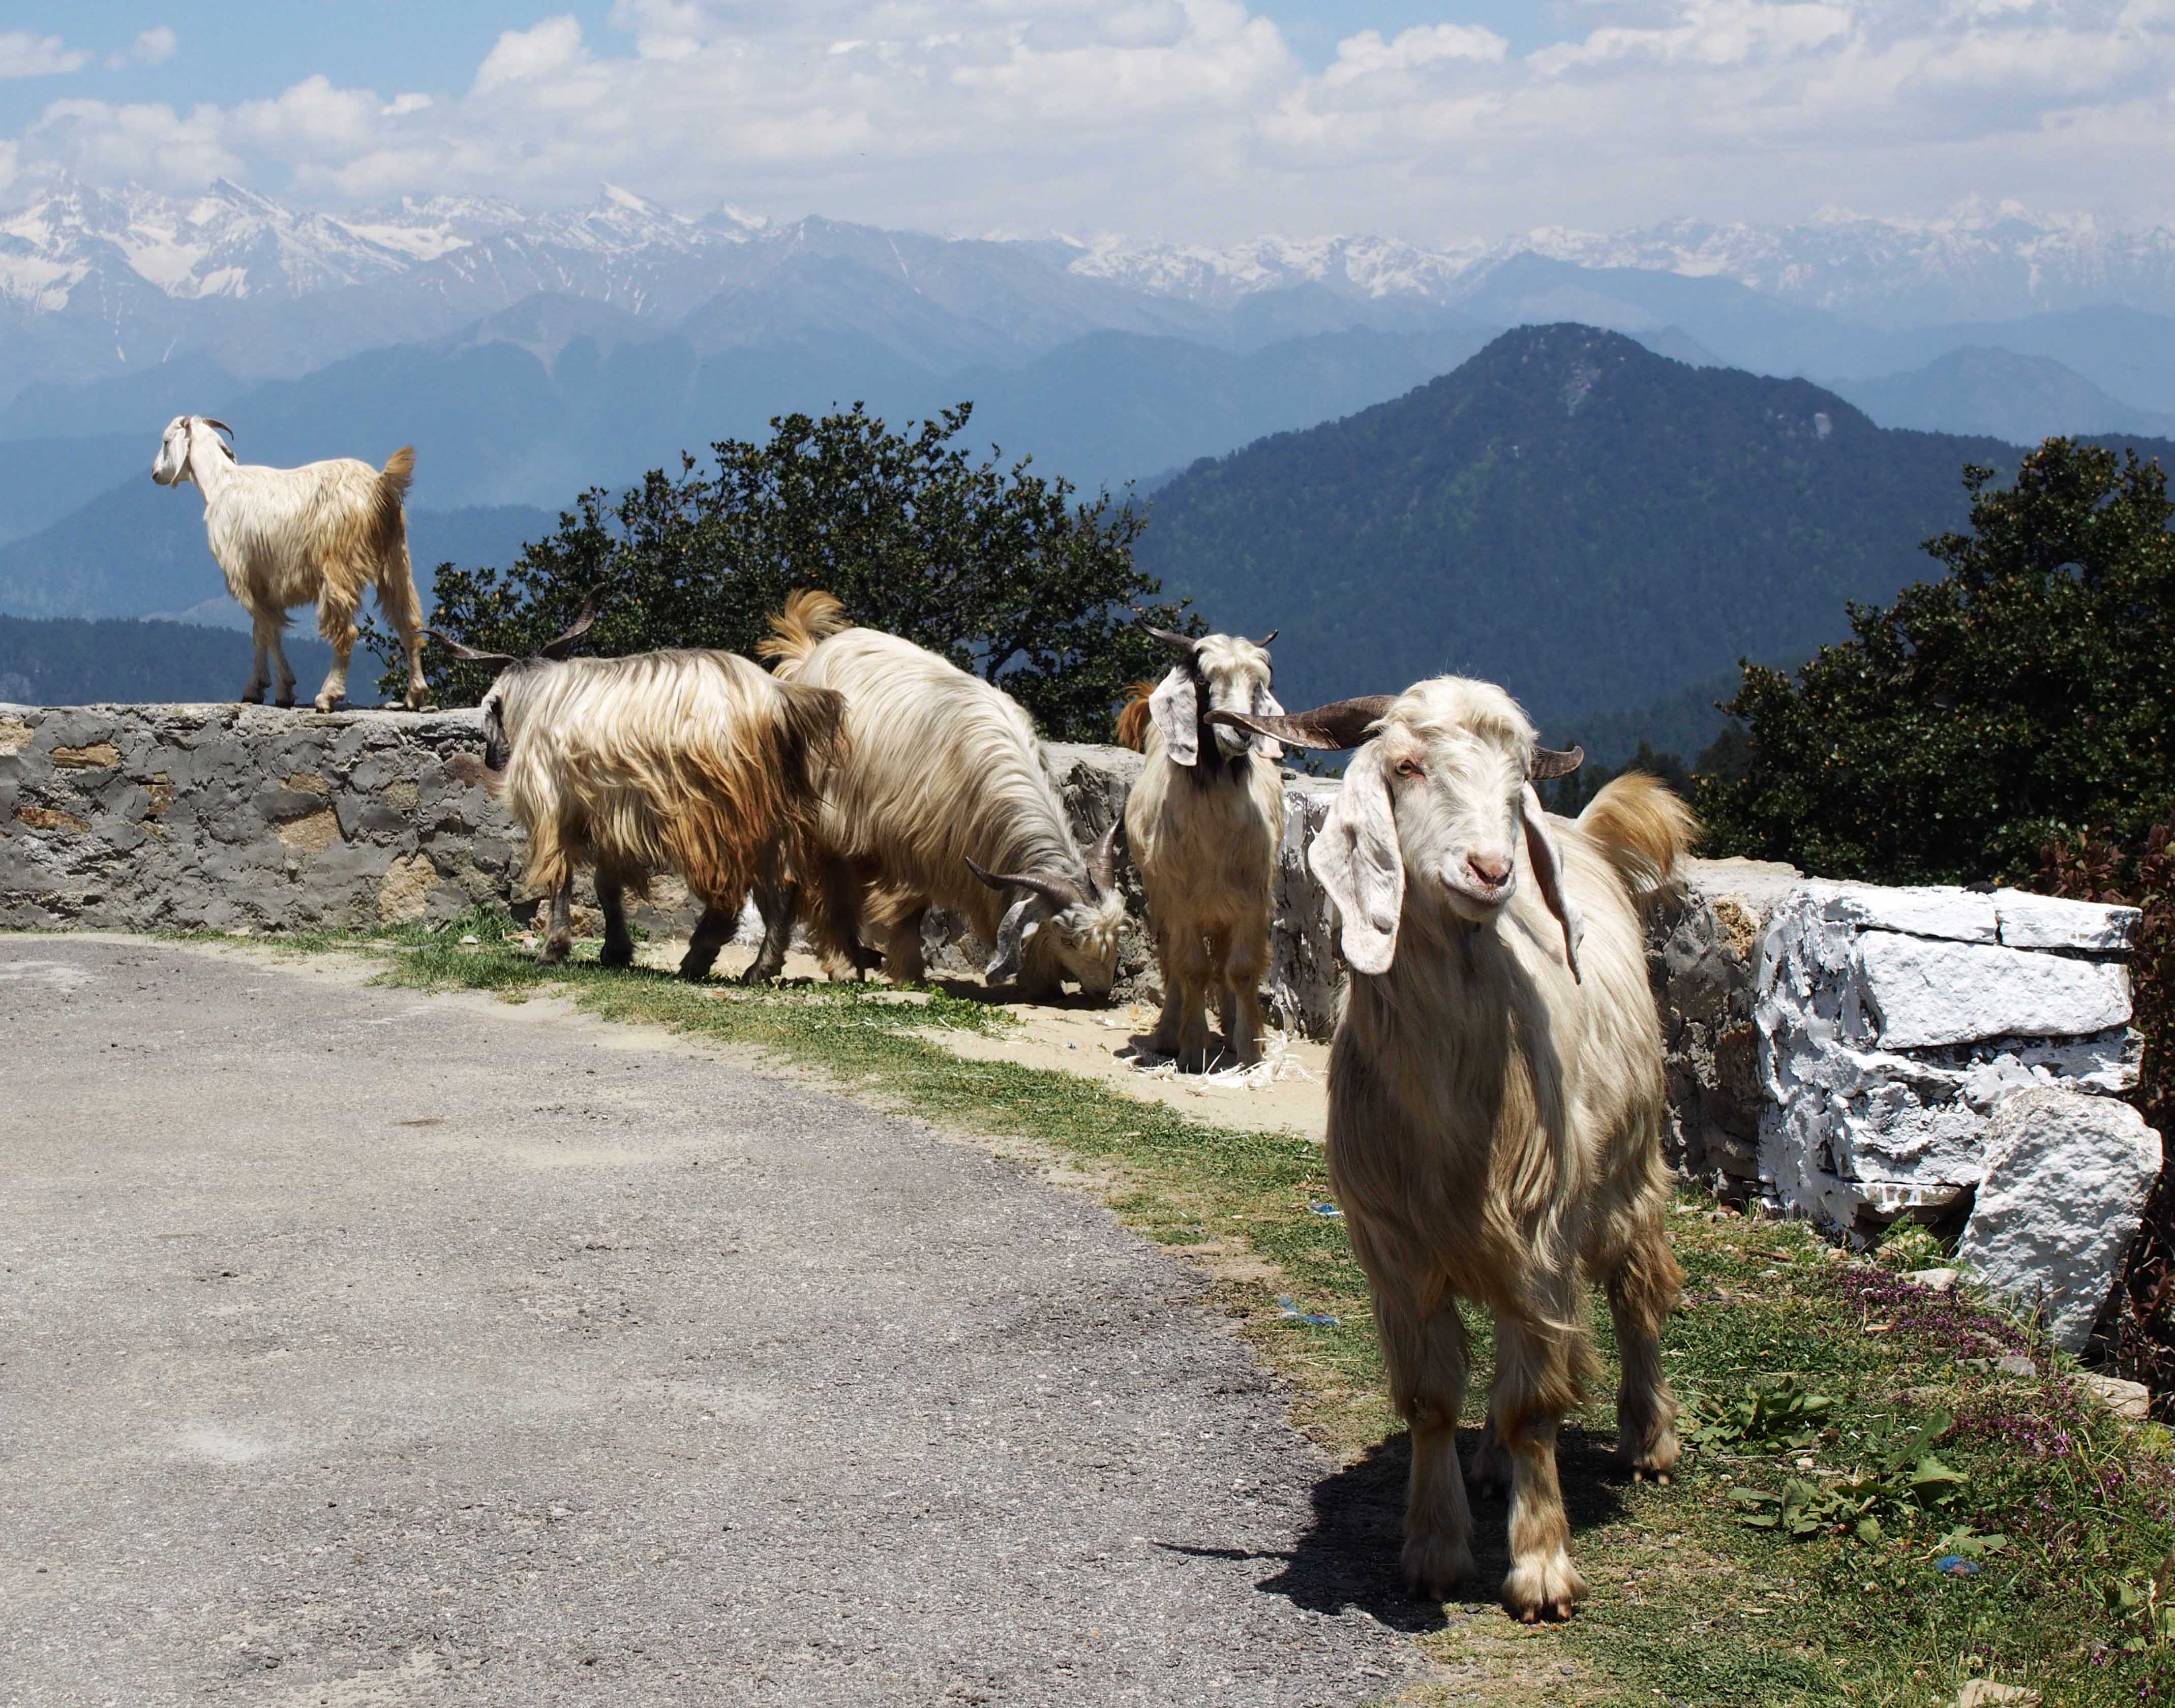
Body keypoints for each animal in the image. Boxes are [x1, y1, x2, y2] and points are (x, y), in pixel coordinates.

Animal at [151, 415, 427, 712]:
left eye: (165, 441)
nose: (155, 473)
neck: (219, 483)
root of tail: (379, 486)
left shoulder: (244, 576)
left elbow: (266, 631)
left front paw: (269, 688)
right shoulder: (267, 583)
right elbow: (264, 631)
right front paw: (273, 689)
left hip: (339, 566)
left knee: (347, 632)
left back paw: (328, 695)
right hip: (395, 558)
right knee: (409, 623)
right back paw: (415, 694)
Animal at [436, 609, 845, 980]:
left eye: (492, 710)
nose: (491, 758)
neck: (539, 700)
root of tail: (776, 699)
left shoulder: (554, 805)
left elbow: (561, 879)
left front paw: (554, 950)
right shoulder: (609, 817)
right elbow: (606, 885)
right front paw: (615, 951)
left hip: (716, 808)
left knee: (732, 887)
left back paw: (701, 958)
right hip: (774, 803)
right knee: (784, 882)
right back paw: (761, 966)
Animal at [749, 590, 1123, 997]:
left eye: (1117, 934)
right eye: (1067, 938)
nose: (1101, 992)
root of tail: (806, 659)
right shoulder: (908, 843)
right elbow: (908, 910)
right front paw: (910, 974)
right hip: (825, 823)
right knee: (827, 890)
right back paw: (845, 965)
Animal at [1118, 624, 1286, 1067]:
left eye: (1259, 685)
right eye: (1202, 681)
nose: (1243, 730)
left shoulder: (1252, 898)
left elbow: (1241, 970)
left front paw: (1250, 1047)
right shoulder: (1180, 900)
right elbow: (1191, 969)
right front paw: (1193, 1049)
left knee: (1222, 961)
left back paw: (1230, 1024)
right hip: (1162, 900)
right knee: (1172, 963)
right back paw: (1168, 1033)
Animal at [1214, 681, 1693, 1623]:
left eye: (1516, 784)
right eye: (1406, 766)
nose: (1491, 872)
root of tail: (1588, 839)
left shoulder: (1540, 1233)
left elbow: (1534, 1405)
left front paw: (1540, 1568)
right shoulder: (1394, 1249)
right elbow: (1432, 1400)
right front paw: (1434, 1549)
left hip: (1625, 1171)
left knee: (1635, 1291)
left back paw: (1647, 1438)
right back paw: (1492, 1470)